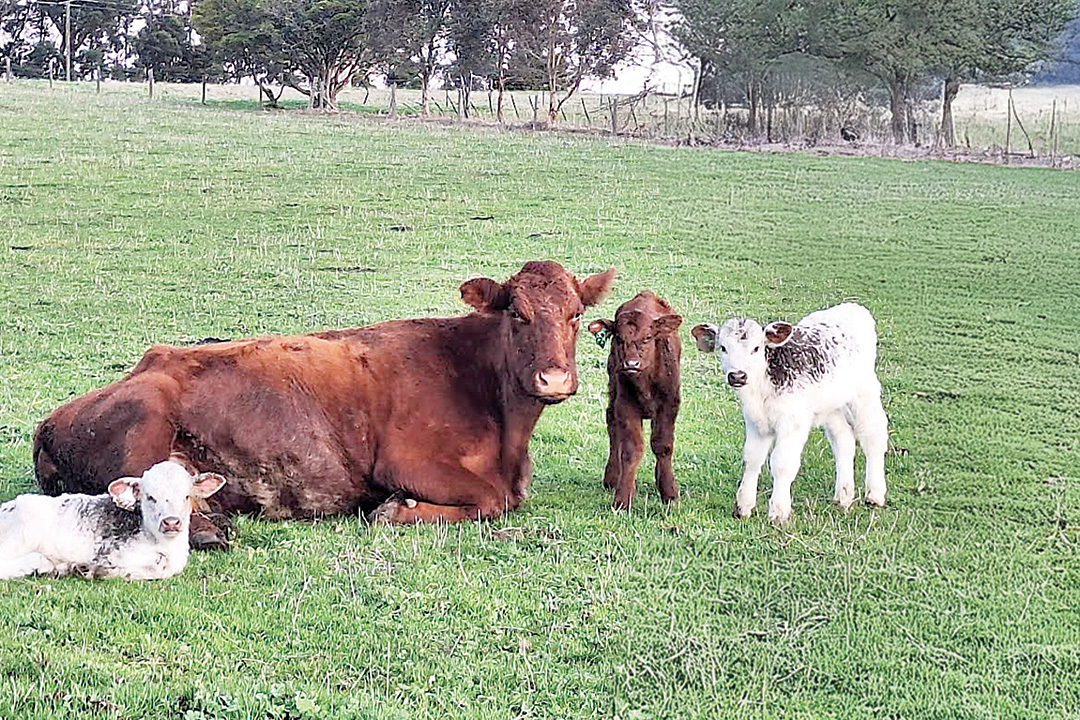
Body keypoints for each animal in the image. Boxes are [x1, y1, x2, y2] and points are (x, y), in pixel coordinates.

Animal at [0, 458, 225, 580]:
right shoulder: (110, 551)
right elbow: (159, 565)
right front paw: (93, 570)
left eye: (186, 496)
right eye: (150, 497)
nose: (171, 522)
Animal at [34, 261, 616, 545]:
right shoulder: (406, 462)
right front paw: (398, 510)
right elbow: (493, 499)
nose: (554, 378)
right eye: (517, 313)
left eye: (575, 314)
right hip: (147, 415)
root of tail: (48, 423)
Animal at [588, 291, 682, 510]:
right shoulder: (626, 404)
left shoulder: (670, 403)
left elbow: (663, 445)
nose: (631, 363)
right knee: (612, 424)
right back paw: (613, 477)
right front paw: (623, 499)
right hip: (614, 389)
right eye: (618, 338)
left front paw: (669, 493)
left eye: (648, 337)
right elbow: (631, 449)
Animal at [691, 303, 888, 524]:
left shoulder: (792, 422)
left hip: (865, 392)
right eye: (723, 347)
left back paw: (875, 495)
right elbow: (752, 458)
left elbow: (782, 464)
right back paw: (843, 496)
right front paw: (743, 507)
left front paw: (779, 512)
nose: (738, 376)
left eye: (756, 348)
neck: (762, 387)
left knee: (874, 437)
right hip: (831, 406)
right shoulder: (755, 422)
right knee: (843, 440)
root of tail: (854, 307)